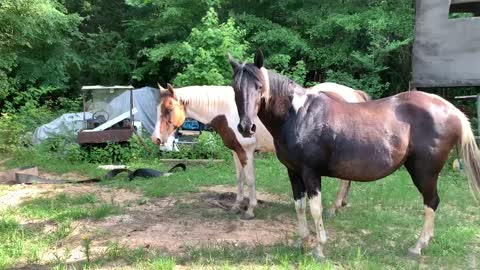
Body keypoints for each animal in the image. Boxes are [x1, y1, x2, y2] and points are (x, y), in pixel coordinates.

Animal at [152, 84, 370, 219]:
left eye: (169, 109)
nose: (156, 139)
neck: (228, 110)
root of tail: (354, 94)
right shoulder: (236, 151)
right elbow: (239, 179)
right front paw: (236, 206)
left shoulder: (247, 151)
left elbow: (250, 180)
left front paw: (250, 210)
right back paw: (340, 205)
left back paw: (333, 209)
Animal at [229, 50, 480, 260]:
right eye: (235, 88)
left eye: (259, 86)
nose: (246, 127)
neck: (299, 116)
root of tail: (452, 110)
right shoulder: (293, 172)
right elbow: (299, 206)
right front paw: (302, 242)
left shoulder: (311, 173)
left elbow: (315, 208)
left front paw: (319, 249)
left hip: (424, 172)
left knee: (431, 202)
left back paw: (417, 247)